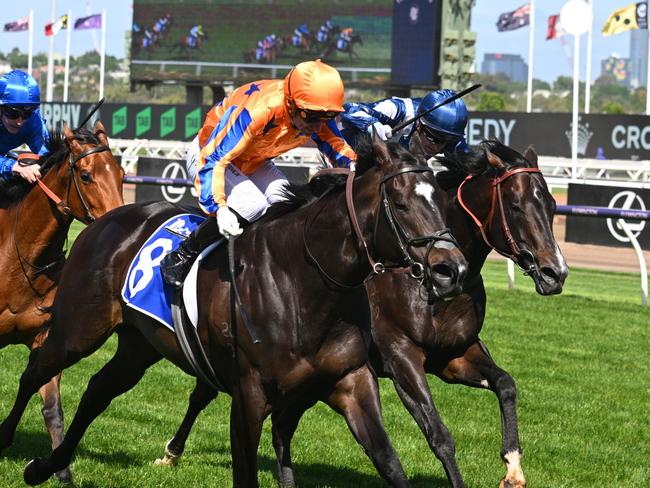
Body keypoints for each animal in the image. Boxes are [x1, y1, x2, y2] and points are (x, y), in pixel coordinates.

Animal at [153, 139, 568, 486]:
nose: (556, 272)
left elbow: (506, 384)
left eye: (551, 206)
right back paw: (171, 451)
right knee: (206, 393)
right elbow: (439, 435)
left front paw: (513, 467)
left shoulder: (453, 355)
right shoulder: (401, 356)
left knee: (268, 418)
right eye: (515, 206)